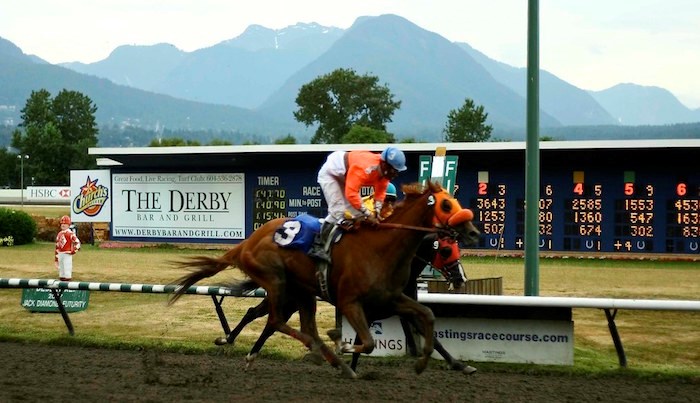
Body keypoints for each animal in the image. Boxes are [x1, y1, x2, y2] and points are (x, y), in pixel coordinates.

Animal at [170, 182, 476, 378]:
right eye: (446, 249)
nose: (472, 231)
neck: (384, 249)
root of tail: (245, 244)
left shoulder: (391, 300)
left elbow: (427, 317)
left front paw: (439, 363)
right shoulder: (352, 303)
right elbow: (367, 341)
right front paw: (346, 349)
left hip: (299, 293)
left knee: (283, 322)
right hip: (278, 283)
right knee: (273, 320)